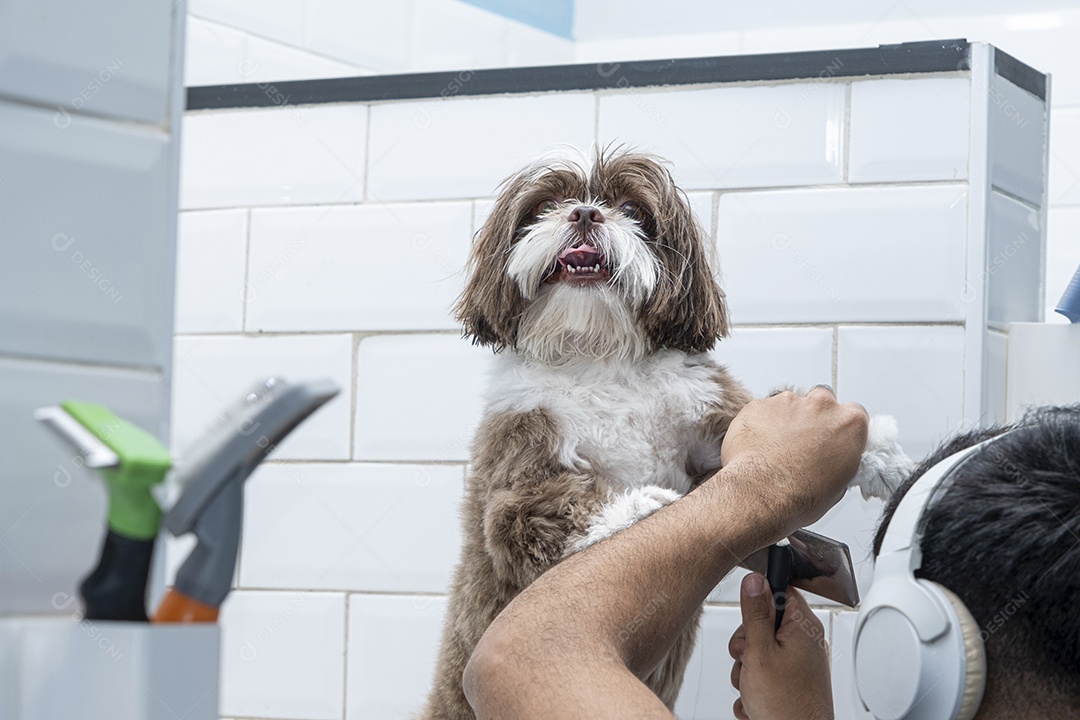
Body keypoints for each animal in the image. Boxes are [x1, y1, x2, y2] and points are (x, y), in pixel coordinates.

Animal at [419, 148, 911, 716]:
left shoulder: (706, 418)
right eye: (545, 206)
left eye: (632, 209)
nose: (584, 213)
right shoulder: (521, 457)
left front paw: (881, 453)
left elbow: (751, 417)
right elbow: (544, 511)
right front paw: (647, 508)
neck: (597, 353)